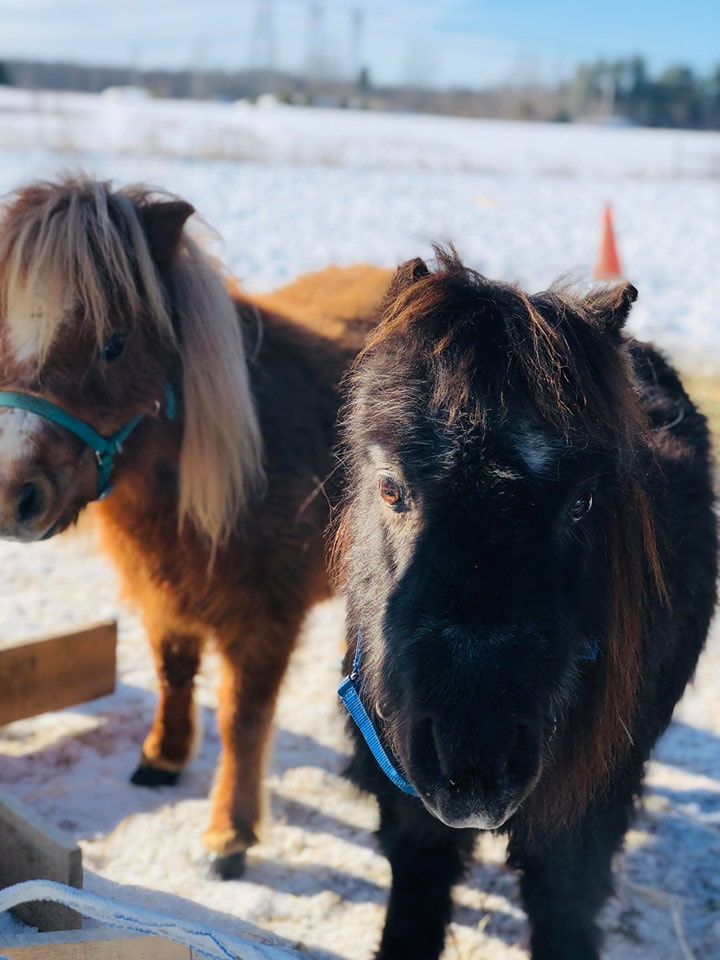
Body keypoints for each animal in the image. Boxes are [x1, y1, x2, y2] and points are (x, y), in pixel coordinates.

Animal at [0, 174, 390, 876]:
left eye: (114, 343)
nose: (13, 494)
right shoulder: (163, 593)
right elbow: (172, 671)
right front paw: (163, 756)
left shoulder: (265, 619)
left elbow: (243, 719)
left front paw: (230, 834)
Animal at [334, 249, 716, 960]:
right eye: (391, 488)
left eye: (582, 502)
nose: (473, 767)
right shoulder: (412, 813)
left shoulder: (584, 822)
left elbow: (563, 909)